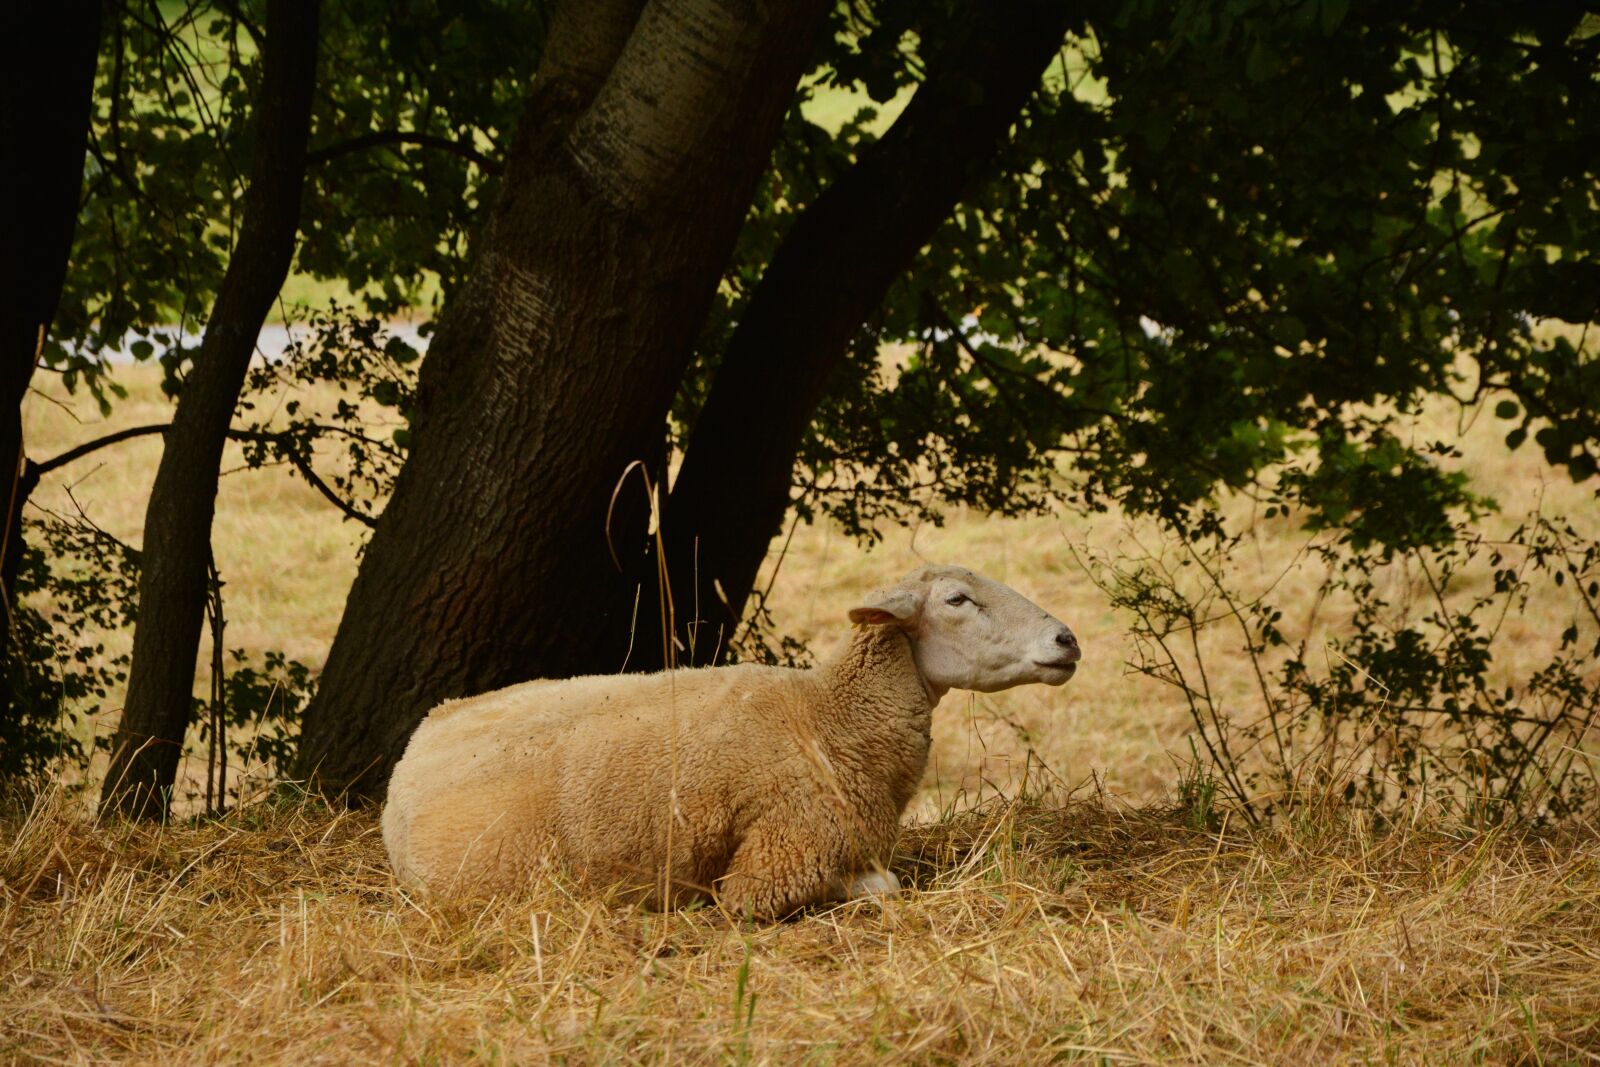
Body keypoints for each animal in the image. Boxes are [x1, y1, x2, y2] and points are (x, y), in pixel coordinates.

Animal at [381, 564, 1081, 918]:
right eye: (958, 599)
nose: (1067, 639)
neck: (827, 718)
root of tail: (413, 748)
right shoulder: (776, 865)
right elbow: (882, 887)